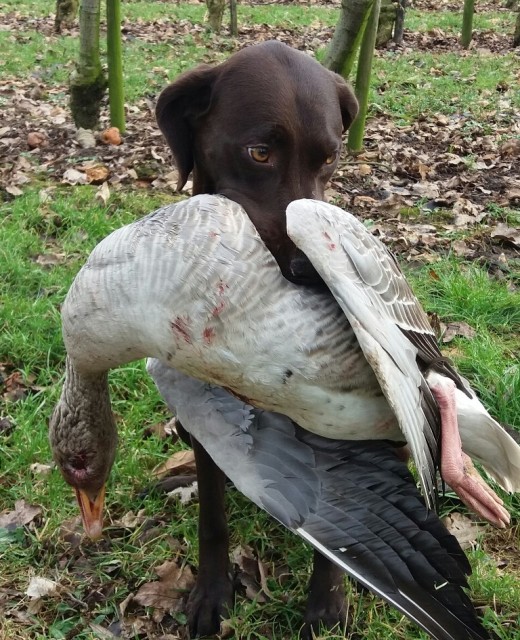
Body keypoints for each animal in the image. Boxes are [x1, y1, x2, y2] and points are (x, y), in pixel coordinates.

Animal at [154, 42, 358, 636]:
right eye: (259, 153)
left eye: (330, 158)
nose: (317, 275)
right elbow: (212, 515)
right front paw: (211, 592)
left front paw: (327, 602)